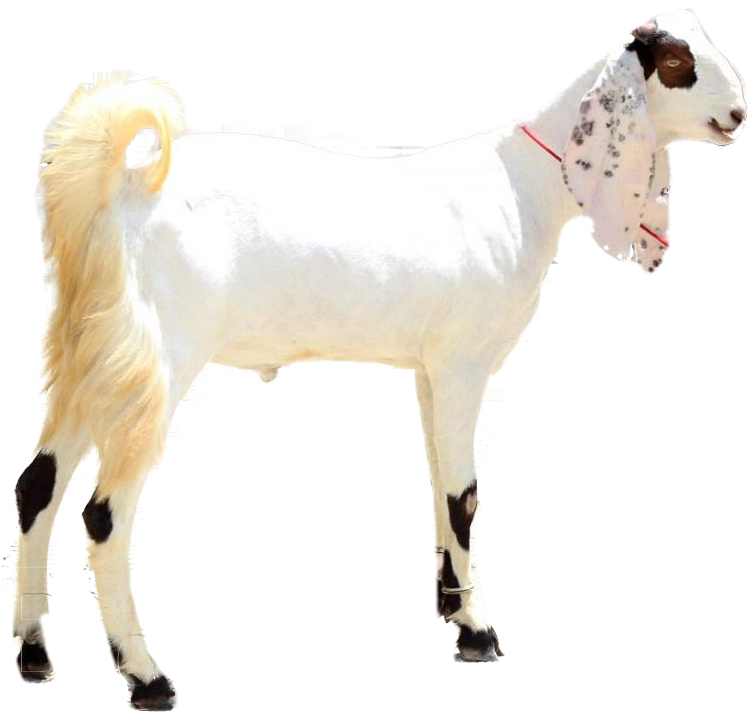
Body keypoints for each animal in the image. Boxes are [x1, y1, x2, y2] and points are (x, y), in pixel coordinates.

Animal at [11, 6, 744, 707]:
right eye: (675, 63)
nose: (737, 117)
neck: (524, 184)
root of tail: (111, 195)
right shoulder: (461, 365)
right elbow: (464, 496)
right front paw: (478, 634)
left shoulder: (429, 372)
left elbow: (443, 486)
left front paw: (450, 605)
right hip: (153, 370)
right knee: (105, 519)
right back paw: (146, 679)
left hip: (89, 359)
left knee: (37, 487)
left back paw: (35, 654)